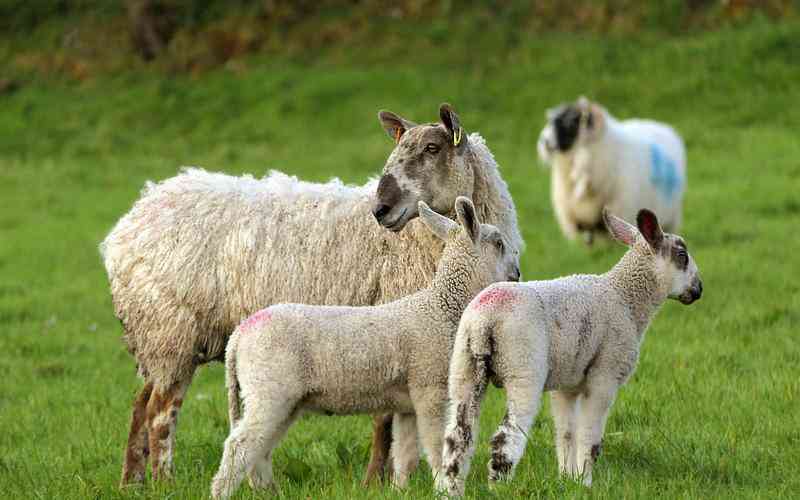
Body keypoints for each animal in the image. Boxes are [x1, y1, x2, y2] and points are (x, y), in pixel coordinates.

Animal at [208, 197, 520, 498]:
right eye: (499, 243)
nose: (517, 274)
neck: (441, 307)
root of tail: (239, 335)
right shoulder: (430, 387)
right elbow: (434, 446)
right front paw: (443, 486)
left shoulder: (407, 403)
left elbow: (405, 454)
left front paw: (400, 490)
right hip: (269, 389)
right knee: (239, 447)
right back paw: (222, 492)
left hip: (282, 399)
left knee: (259, 450)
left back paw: (269, 492)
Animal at [440, 208, 704, 496]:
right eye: (682, 256)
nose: (698, 289)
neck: (626, 299)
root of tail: (484, 319)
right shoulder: (605, 375)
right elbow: (590, 437)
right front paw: (586, 482)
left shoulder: (566, 382)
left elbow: (566, 433)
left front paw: (567, 479)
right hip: (524, 367)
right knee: (505, 439)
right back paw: (498, 489)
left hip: (463, 365)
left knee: (457, 437)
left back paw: (448, 490)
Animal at [536, 96, 688, 243]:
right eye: (550, 121)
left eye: (571, 122)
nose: (544, 142)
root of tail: (660, 125)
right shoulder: (578, 220)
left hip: (672, 214)